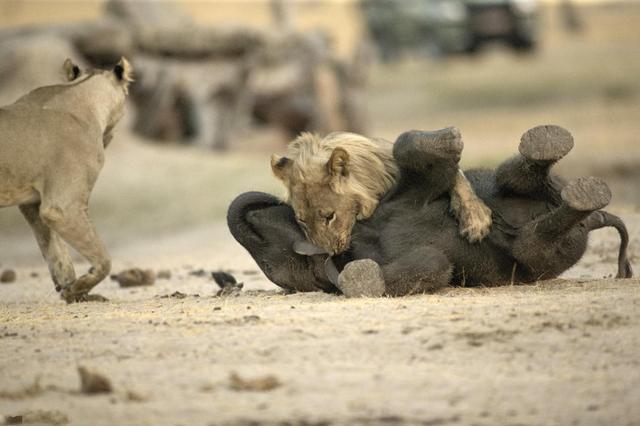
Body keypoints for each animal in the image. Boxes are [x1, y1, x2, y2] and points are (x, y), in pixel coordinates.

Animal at [0, 57, 132, 302]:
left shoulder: (34, 204)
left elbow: (56, 253)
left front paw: (73, 292)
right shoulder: (61, 207)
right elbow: (103, 259)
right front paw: (78, 289)